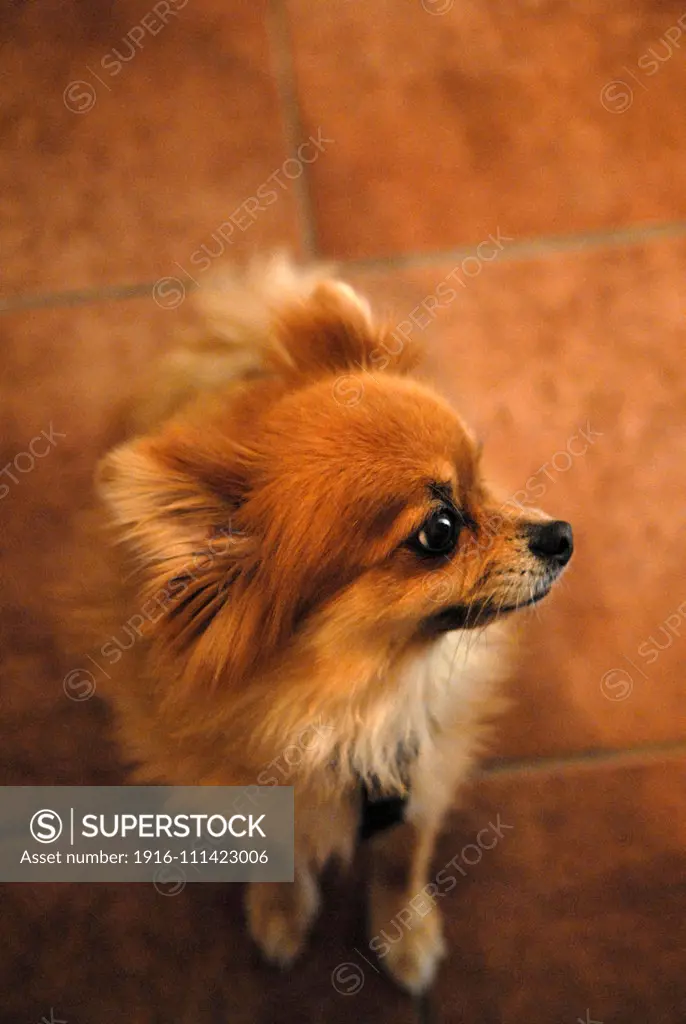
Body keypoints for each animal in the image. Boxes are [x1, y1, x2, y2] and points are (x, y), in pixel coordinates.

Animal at [91, 256, 573, 991]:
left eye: (483, 474)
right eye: (439, 532)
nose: (563, 536)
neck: (350, 704)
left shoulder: (419, 779)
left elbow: (401, 863)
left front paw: (404, 933)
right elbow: (279, 859)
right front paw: (282, 911)